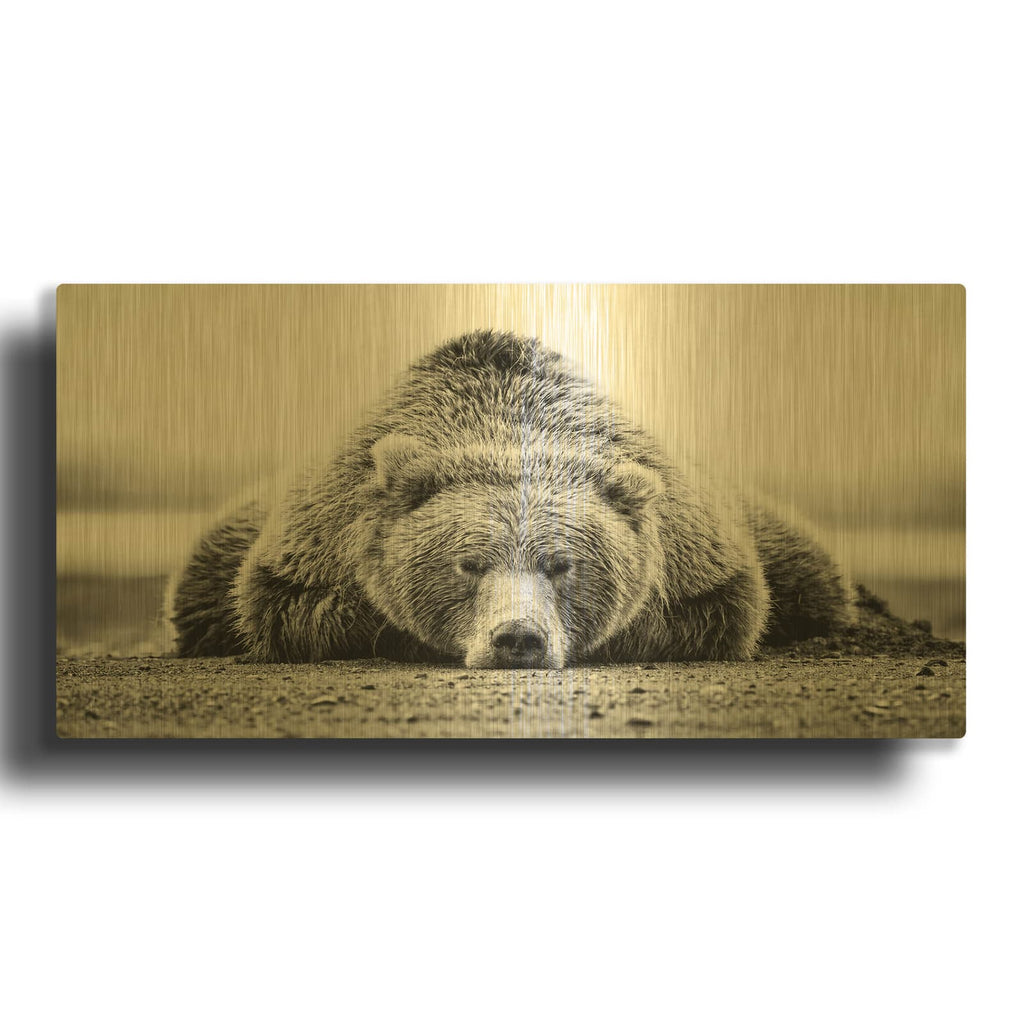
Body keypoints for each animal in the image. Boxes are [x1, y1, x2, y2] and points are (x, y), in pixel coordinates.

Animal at [165, 330, 851, 667]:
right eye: (468, 564)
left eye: (563, 564)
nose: (518, 638)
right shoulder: (315, 547)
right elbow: (290, 608)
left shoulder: (698, 556)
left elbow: (718, 611)